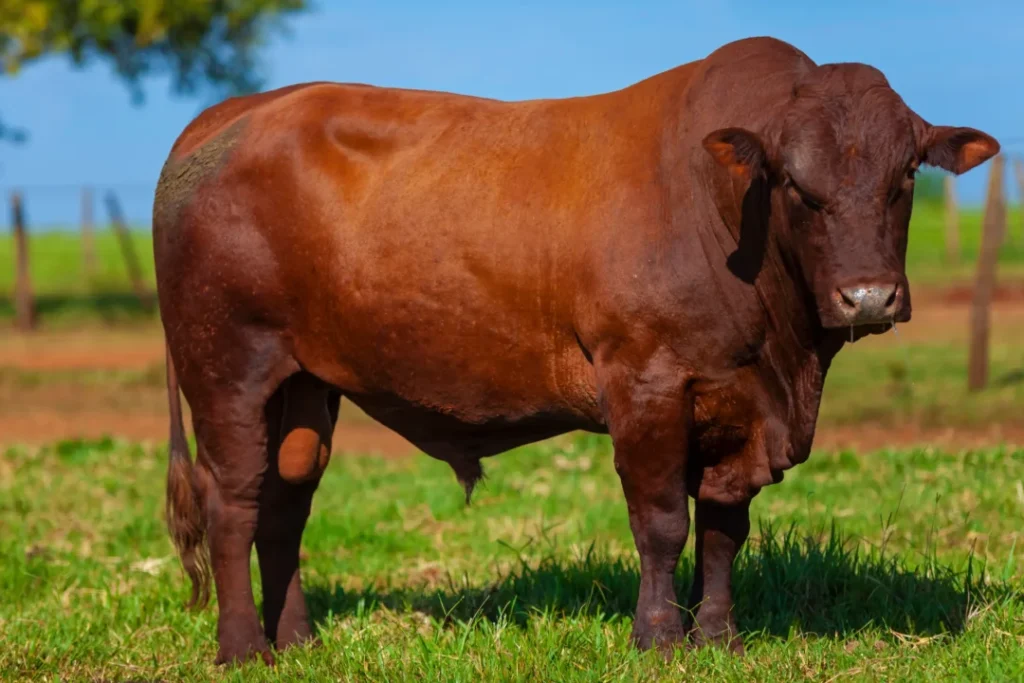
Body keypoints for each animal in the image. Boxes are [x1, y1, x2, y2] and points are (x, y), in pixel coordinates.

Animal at [153, 36, 998, 665]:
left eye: (905, 175)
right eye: (794, 181)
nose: (868, 297)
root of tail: (236, 112)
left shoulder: (741, 406)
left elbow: (724, 527)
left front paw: (719, 636)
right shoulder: (646, 381)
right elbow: (661, 520)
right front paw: (657, 639)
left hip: (304, 385)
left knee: (285, 502)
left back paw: (297, 640)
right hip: (228, 370)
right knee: (234, 501)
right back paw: (242, 649)